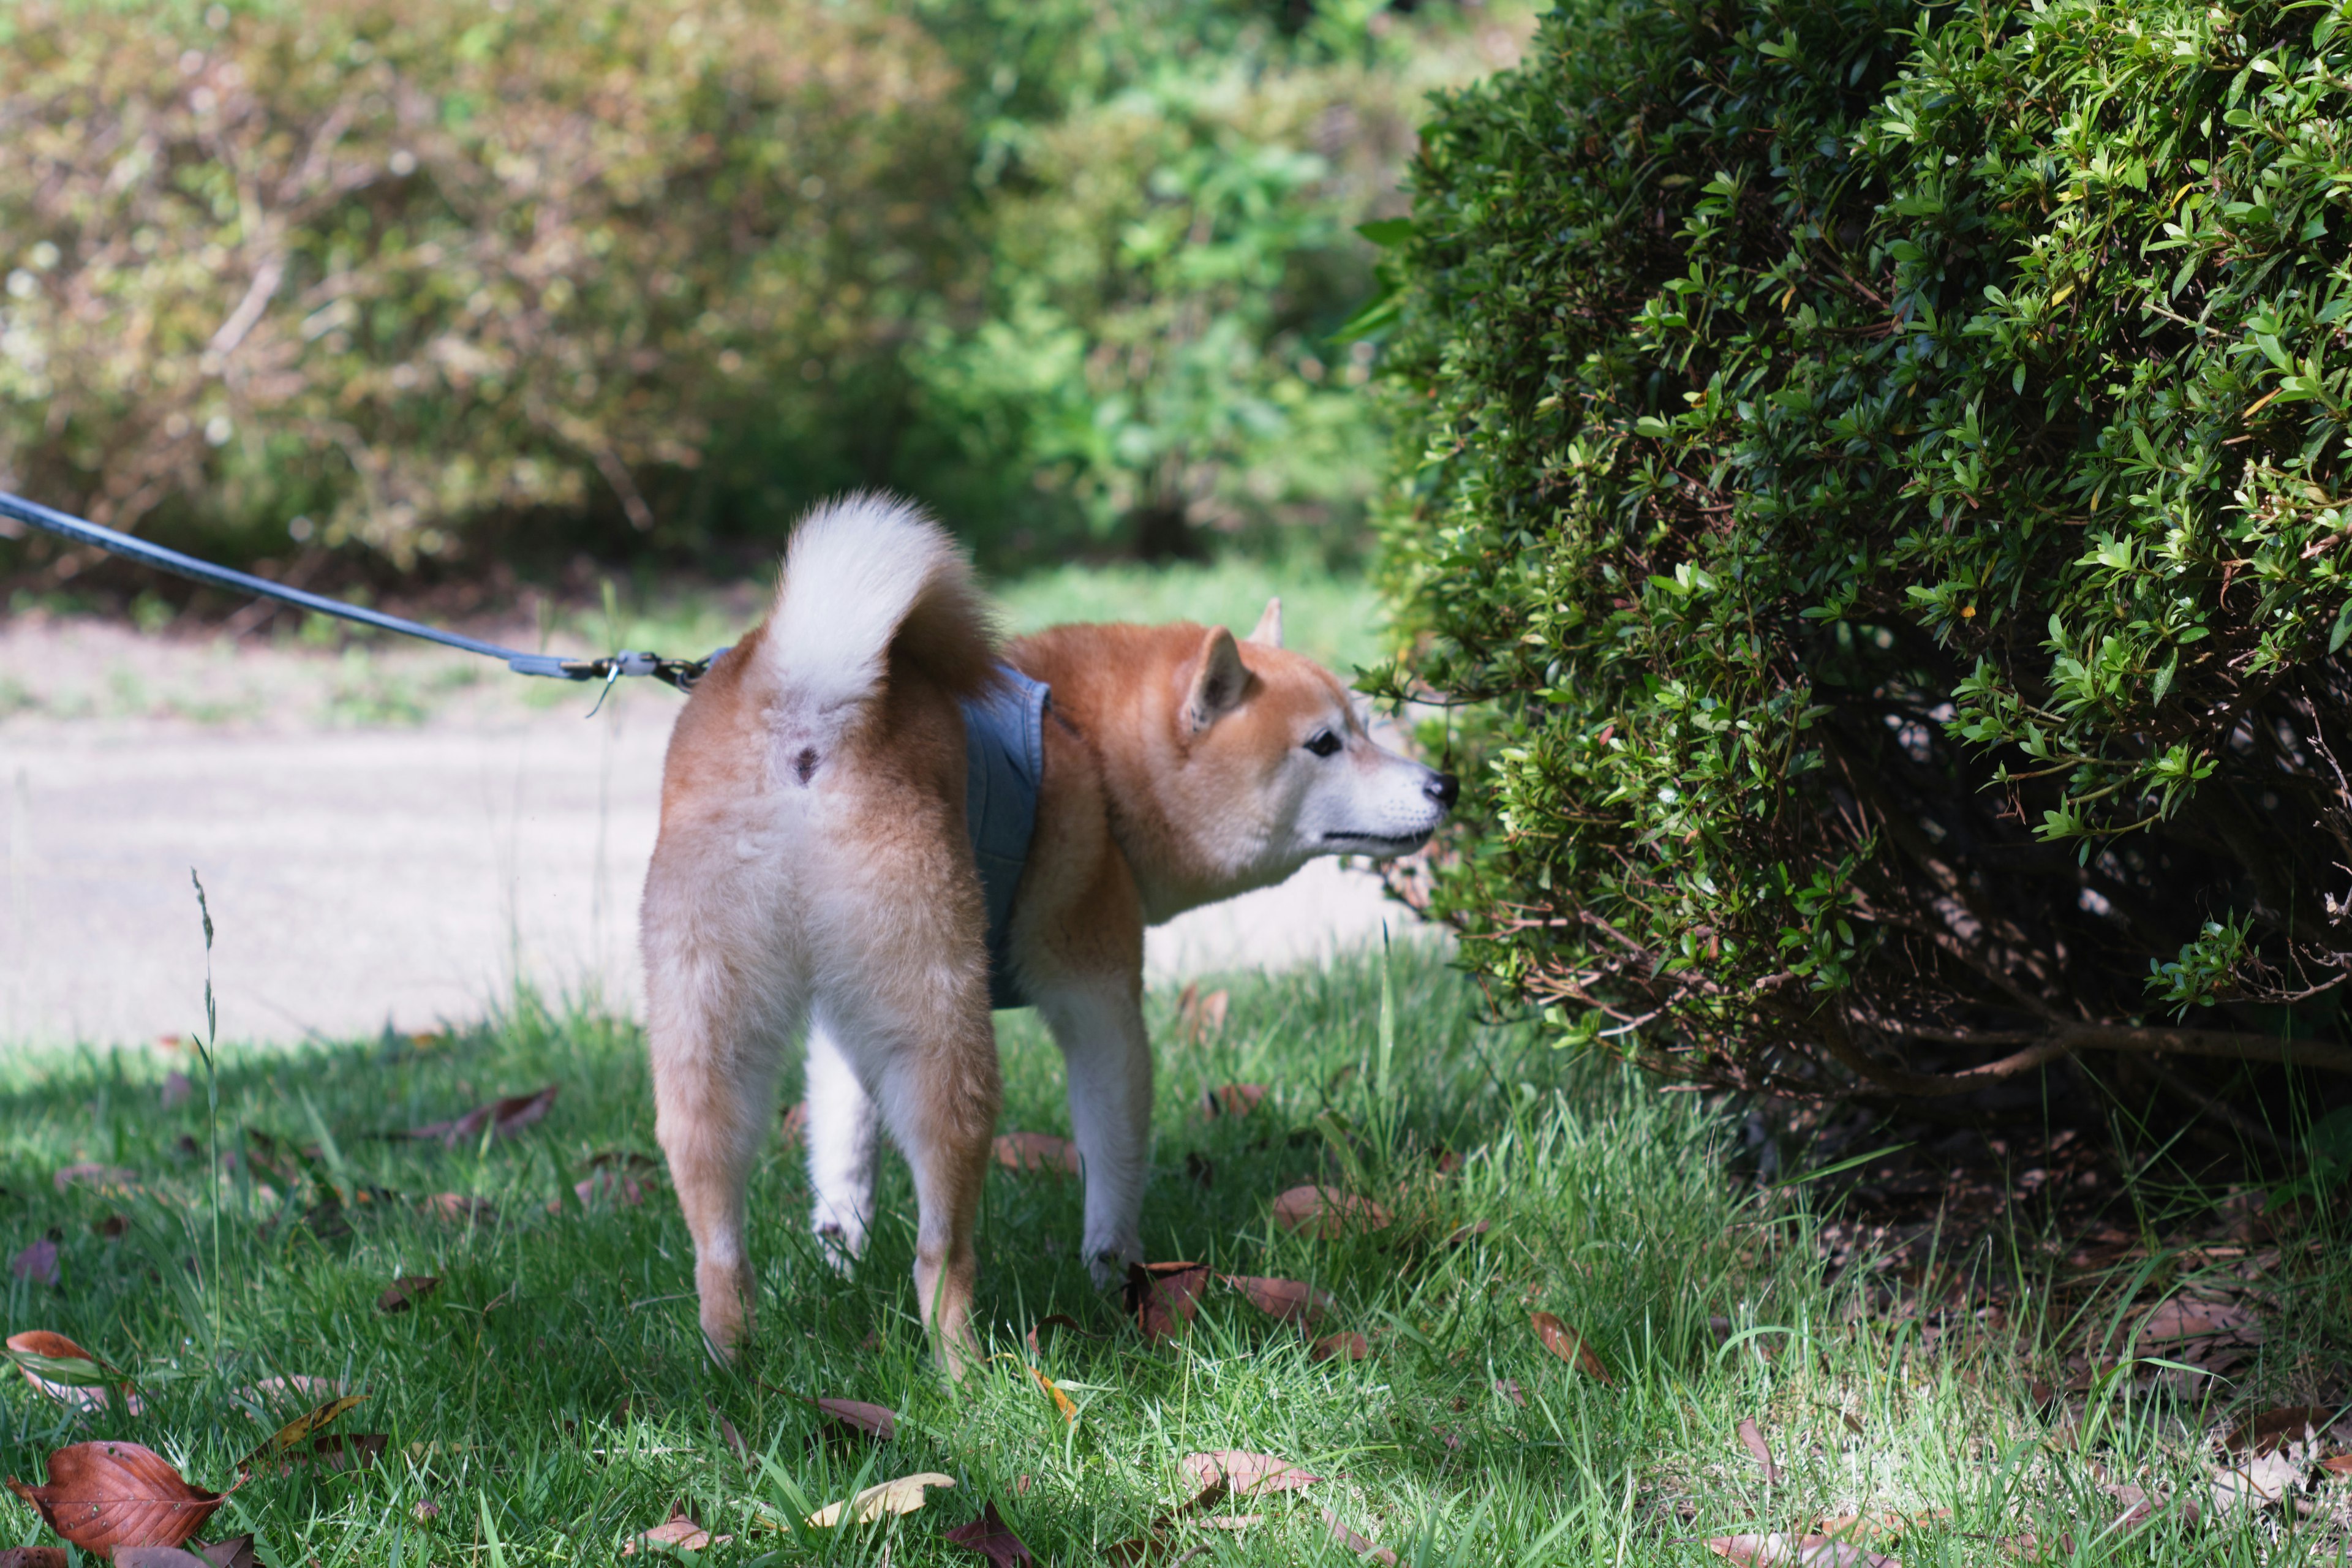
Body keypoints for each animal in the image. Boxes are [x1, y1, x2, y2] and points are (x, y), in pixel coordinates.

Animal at [644, 496, 1449, 1363]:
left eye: (1365, 727)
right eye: (1325, 744)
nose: (1446, 783)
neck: (1095, 746)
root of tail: (812, 698)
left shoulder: (841, 1021)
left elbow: (843, 1162)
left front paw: (840, 1267)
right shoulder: (1100, 1001)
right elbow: (1114, 1163)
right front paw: (1118, 1283)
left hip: (712, 1037)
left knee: (717, 1239)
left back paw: (732, 1362)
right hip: (946, 1041)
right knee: (941, 1252)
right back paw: (966, 1370)